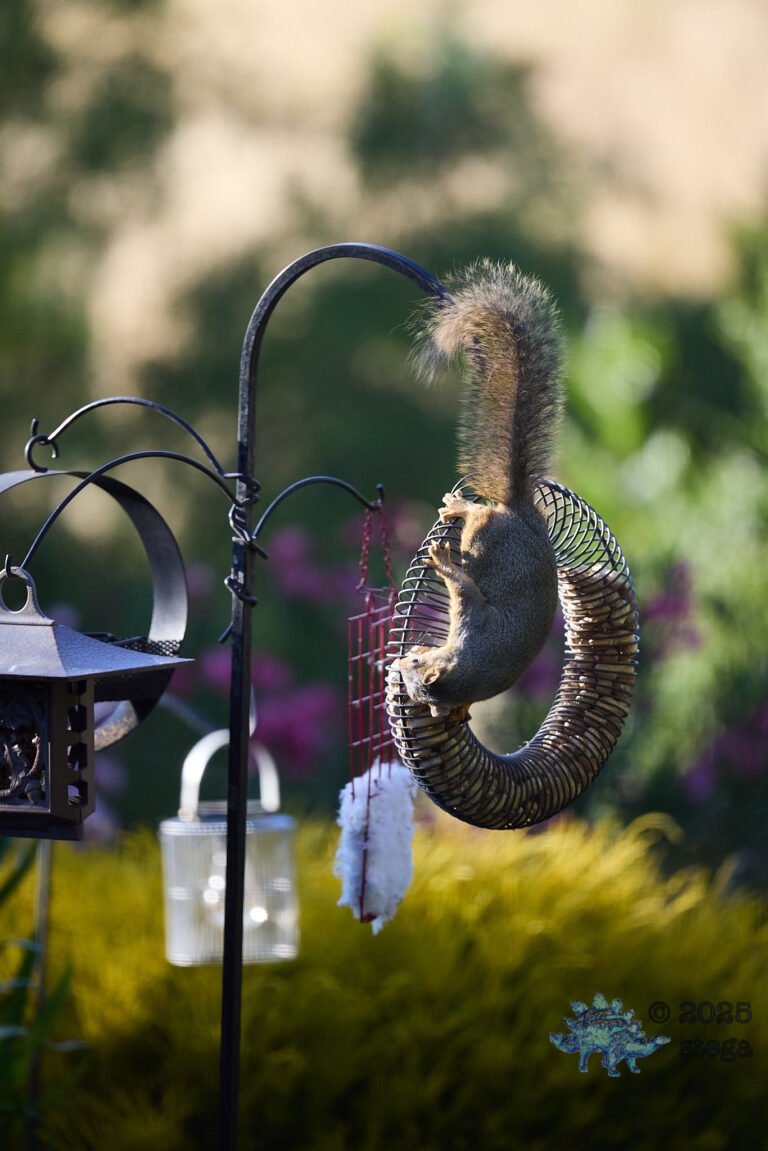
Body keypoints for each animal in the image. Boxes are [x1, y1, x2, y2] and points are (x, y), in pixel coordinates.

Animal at [392, 261, 564, 719]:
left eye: (417, 665)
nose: (401, 658)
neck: (470, 668)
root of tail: (521, 512)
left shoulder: (472, 621)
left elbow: (462, 589)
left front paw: (441, 562)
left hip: (485, 535)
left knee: (479, 515)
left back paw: (459, 508)